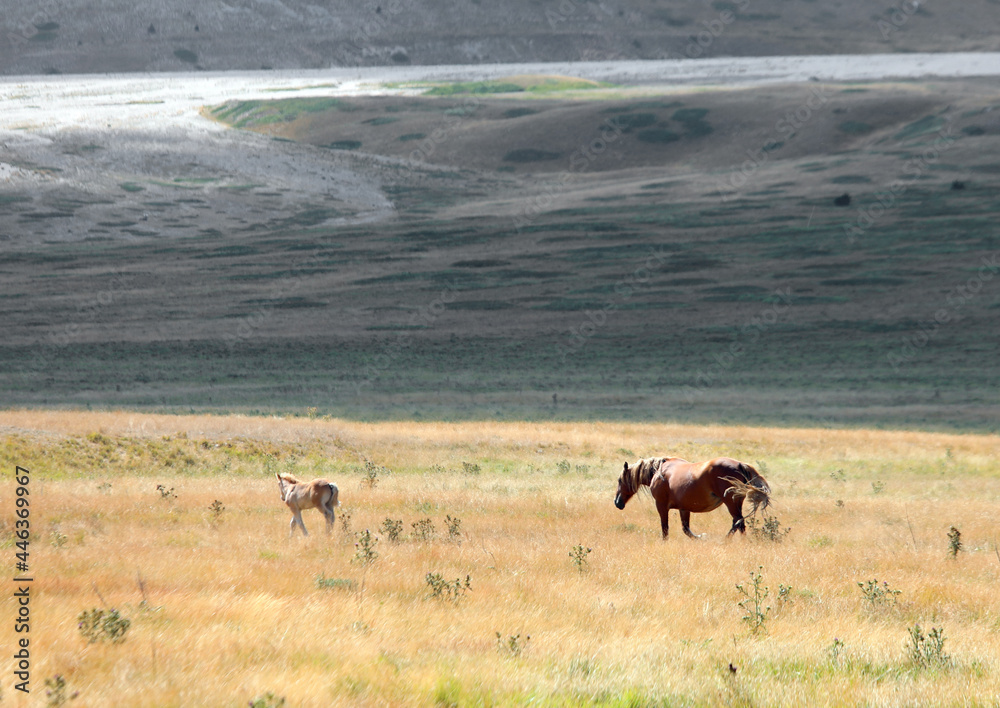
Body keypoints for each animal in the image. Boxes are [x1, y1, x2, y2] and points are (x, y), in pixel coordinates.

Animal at [612, 456, 768, 540]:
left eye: (619, 480)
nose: (617, 502)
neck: (659, 471)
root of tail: (740, 464)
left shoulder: (661, 506)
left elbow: (665, 528)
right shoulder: (684, 509)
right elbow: (686, 530)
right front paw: (701, 537)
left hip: (730, 502)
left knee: (737, 522)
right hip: (736, 503)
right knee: (739, 523)